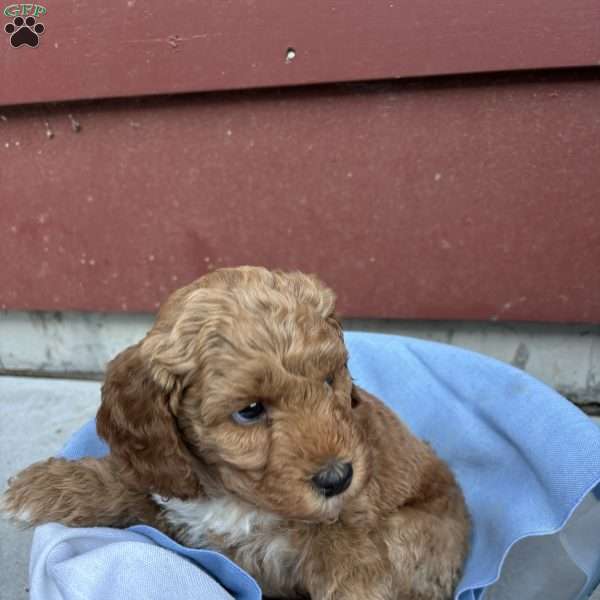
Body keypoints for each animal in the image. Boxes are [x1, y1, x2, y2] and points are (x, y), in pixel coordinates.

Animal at [2, 268, 472, 600]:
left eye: (328, 382)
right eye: (250, 411)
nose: (338, 478)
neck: (238, 498)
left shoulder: (346, 526)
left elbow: (351, 567)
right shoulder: (172, 492)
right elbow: (123, 480)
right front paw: (41, 487)